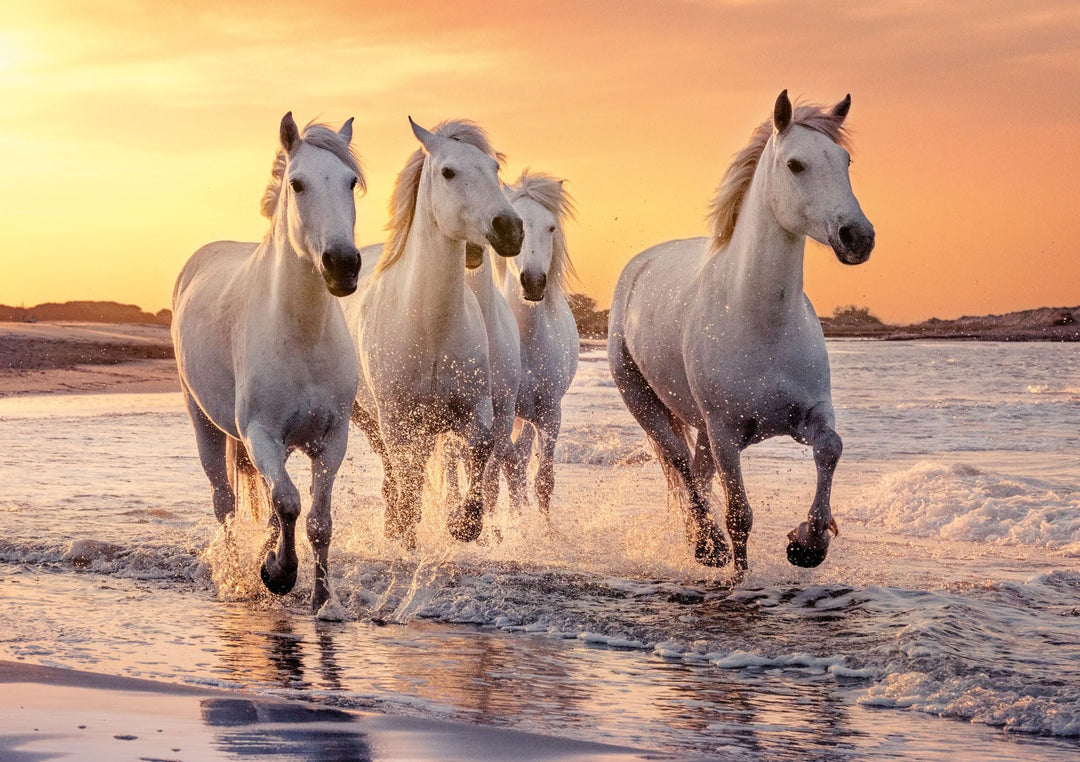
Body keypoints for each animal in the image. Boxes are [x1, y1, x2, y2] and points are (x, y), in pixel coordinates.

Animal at [172, 113, 363, 612]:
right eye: (297, 183)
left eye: (351, 182)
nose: (343, 264)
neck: (301, 335)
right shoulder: (260, 433)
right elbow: (290, 503)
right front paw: (278, 574)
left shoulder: (332, 438)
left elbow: (316, 520)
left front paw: (321, 600)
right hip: (204, 422)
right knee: (225, 503)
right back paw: (238, 576)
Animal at [341, 118, 523, 549]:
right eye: (448, 172)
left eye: (494, 168)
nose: (510, 228)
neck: (430, 329)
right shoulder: (396, 420)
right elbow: (407, 477)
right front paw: (407, 533)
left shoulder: (476, 410)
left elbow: (480, 451)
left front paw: (463, 524)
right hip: (369, 418)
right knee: (395, 471)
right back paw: (395, 528)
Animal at [607, 90, 874, 576]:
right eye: (795, 164)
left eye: (845, 160)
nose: (857, 237)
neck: (761, 322)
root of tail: (638, 267)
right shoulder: (726, 433)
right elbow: (740, 517)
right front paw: (740, 573)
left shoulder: (808, 415)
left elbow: (831, 448)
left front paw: (808, 543)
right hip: (644, 401)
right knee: (679, 463)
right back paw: (707, 545)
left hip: (702, 429)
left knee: (696, 471)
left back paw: (699, 541)